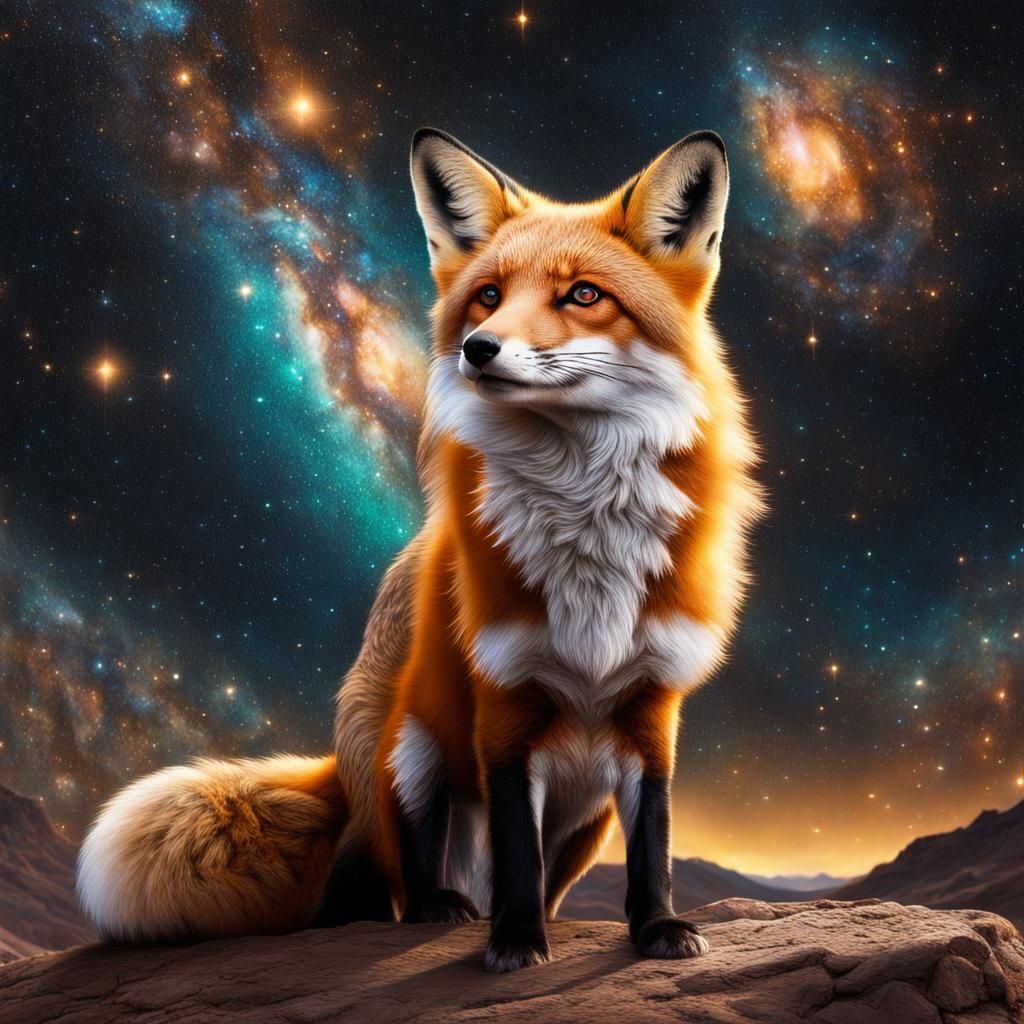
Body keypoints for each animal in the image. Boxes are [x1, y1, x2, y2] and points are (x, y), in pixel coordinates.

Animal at [77, 127, 762, 972]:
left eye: (584, 296)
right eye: (489, 295)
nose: (479, 348)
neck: (587, 539)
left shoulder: (652, 708)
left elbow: (653, 844)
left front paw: (658, 927)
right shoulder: (502, 703)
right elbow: (515, 851)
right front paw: (515, 942)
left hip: (586, 816)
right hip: (408, 753)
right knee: (388, 882)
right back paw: (437, 907)